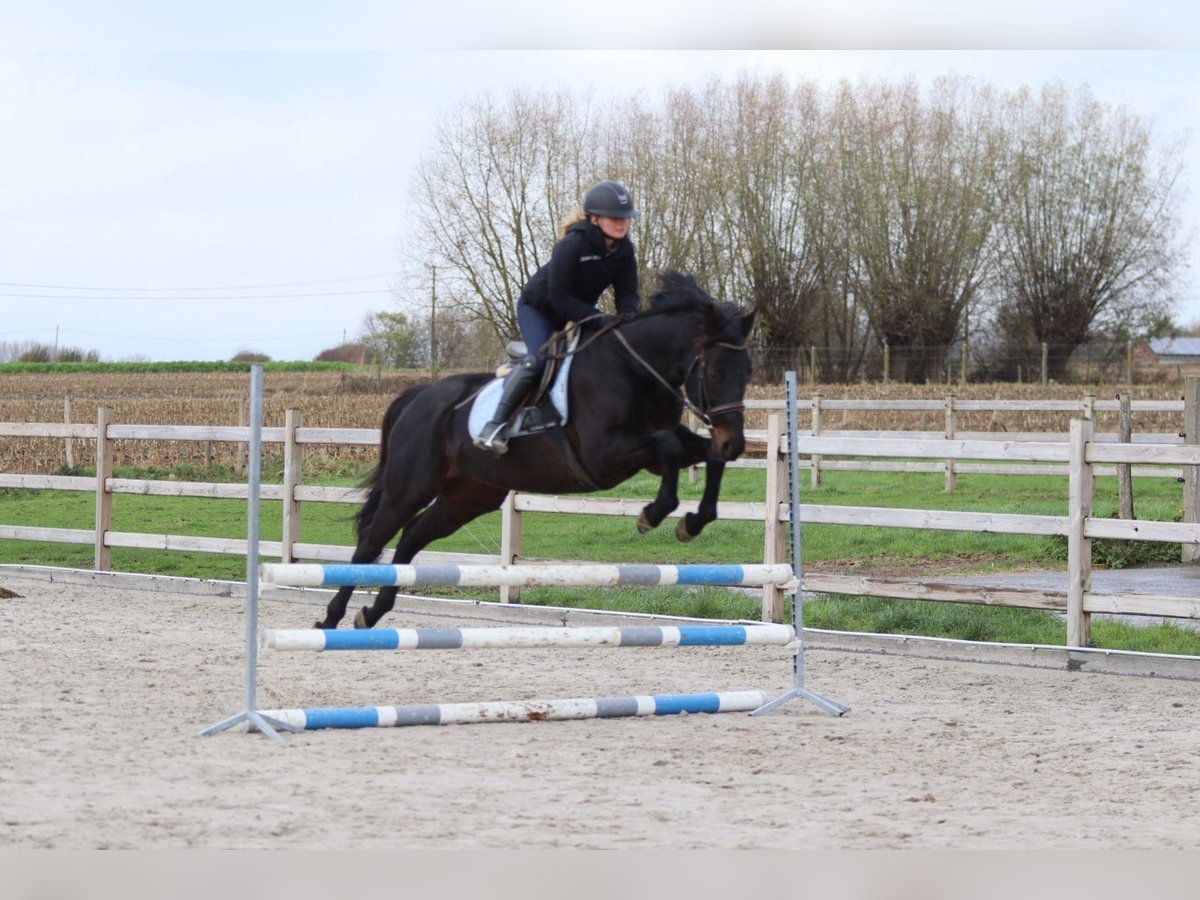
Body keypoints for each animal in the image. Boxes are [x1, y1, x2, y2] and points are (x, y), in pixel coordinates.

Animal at [315, 270, 757, 629]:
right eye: (715, 372)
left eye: (748, 374)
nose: (735, 442)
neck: (636, 369)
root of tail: (418, 395)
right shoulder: (604, 456)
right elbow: (667, 447)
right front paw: (653, 513)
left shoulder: (651, 451)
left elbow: (700, 454)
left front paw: (693, 521)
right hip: (410, 486)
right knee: (372, 541)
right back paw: (331, 618)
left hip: (469, 495)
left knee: (412, 536)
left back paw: (372, 613)